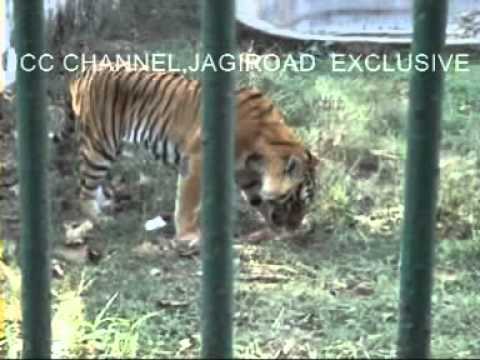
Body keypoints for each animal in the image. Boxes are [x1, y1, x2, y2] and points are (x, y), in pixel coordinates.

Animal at [56, 62, 318, 252]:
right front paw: (188, 236)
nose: (295, 224)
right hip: (100, 145)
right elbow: (188, 203)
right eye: (297, 199)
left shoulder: (247, 175)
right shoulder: (197, 160)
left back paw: (104, 204)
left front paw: (282, 228)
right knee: (84, 188)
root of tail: (84, 70)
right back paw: (98, 218)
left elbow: (259, 200)